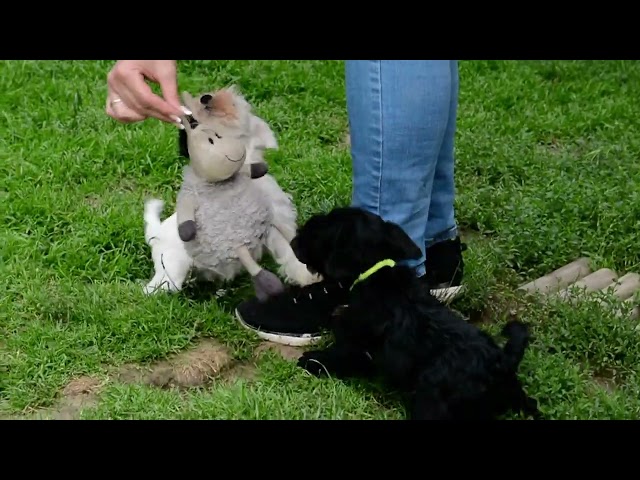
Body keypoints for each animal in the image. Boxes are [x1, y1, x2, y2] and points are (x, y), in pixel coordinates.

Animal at [292, 206, 540, 420]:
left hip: (430, 399)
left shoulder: (357, 346)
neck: (376, 272)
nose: (294, 241)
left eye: (327, 224)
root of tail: (502, 364)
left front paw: (312, 360)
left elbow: (338, 356)